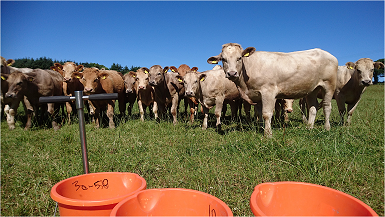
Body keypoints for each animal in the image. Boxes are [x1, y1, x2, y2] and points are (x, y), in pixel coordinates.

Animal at [207, 43, 336, 136]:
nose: (232, 73)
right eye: (223, 59)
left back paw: (327, 128)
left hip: (329, 86)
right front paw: (260, 128)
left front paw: (268, 134)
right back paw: (309, 127)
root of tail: (327, 53)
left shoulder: (268, 92)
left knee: (327, 106)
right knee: (313, 107)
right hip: (312, 89)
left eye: (239, 58)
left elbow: (266, 114)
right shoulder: (257, 95)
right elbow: (259, 113)